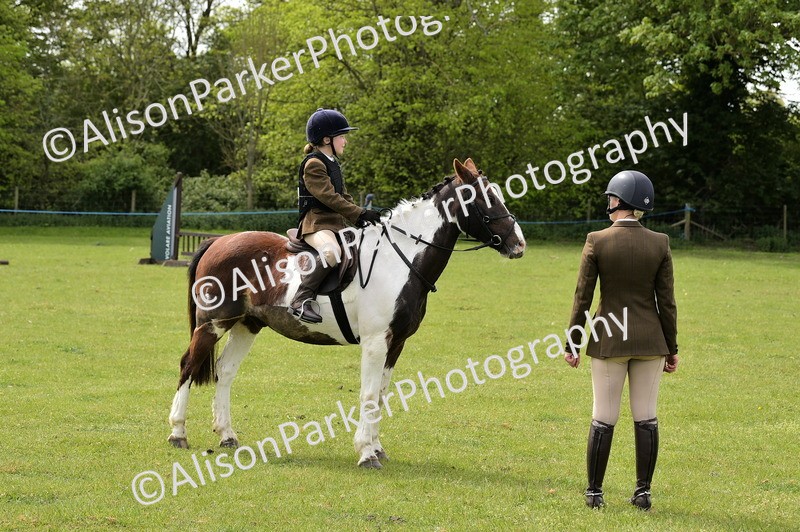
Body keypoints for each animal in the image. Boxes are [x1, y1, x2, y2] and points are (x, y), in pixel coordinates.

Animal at [167, 158, 526, 468]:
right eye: (484, 198)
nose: (519, 244)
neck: (400, 258)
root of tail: (218, 241)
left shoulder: (396, 343)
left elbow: (380, 394)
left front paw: (377, 448)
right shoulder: (375, 342)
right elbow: (368, 395)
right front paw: (366, 453)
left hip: (246, 325)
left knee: (225, 371)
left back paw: (227, 435)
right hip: (213, 323)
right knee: (189, 365)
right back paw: (178, 432)